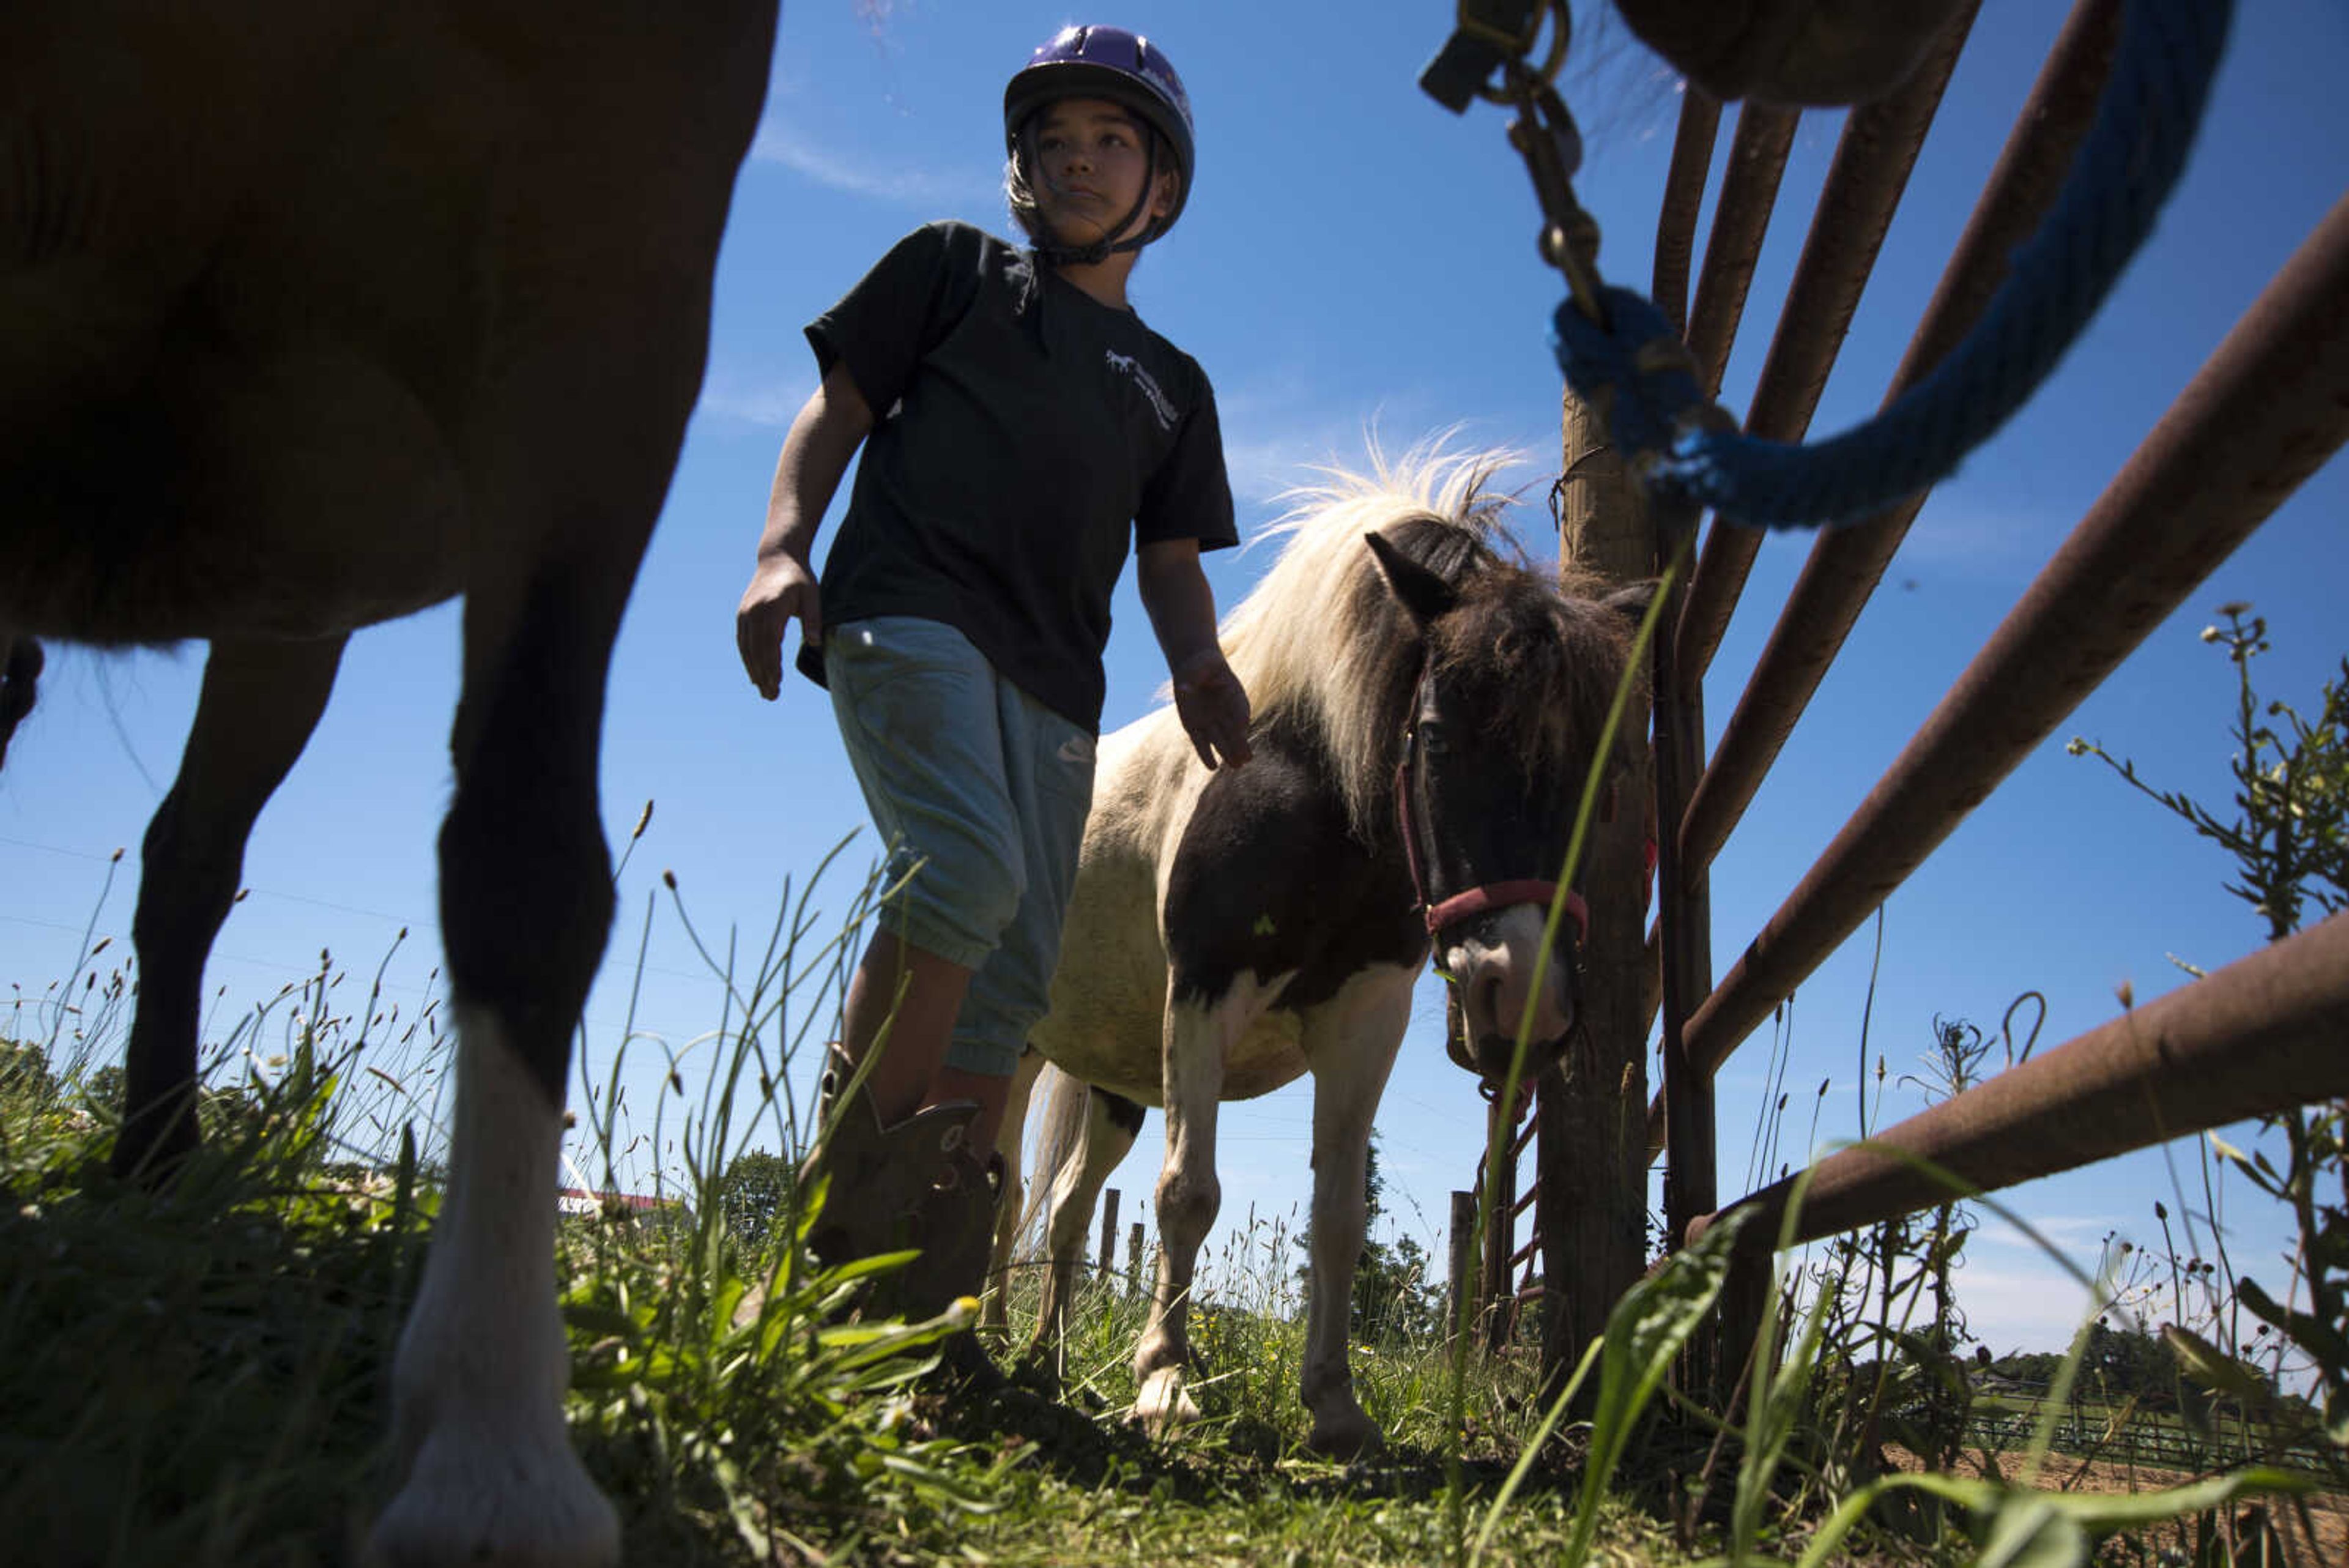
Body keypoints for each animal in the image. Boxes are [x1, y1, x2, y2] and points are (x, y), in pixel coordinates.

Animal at [2, 6, 789, 1561]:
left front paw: (491, 1451)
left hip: (285, 616)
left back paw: (159, 1162)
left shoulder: (602, 292)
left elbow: (527, 856)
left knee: (186, 859)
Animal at [996, 451, 1653, 1457]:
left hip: (1112, 1085)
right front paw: (1165, 1382)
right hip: (1017, 1045)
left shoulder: (1363, 1022)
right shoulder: (1204, 993)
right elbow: (1188, 1193)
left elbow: (1339, 1217)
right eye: (1436, 737)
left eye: (1610, 771)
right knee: (998, 1187)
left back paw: (1045, 1354)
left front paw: (1335, 1404)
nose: (1522, 999)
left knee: (1064, 1204)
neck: (1304, 786)